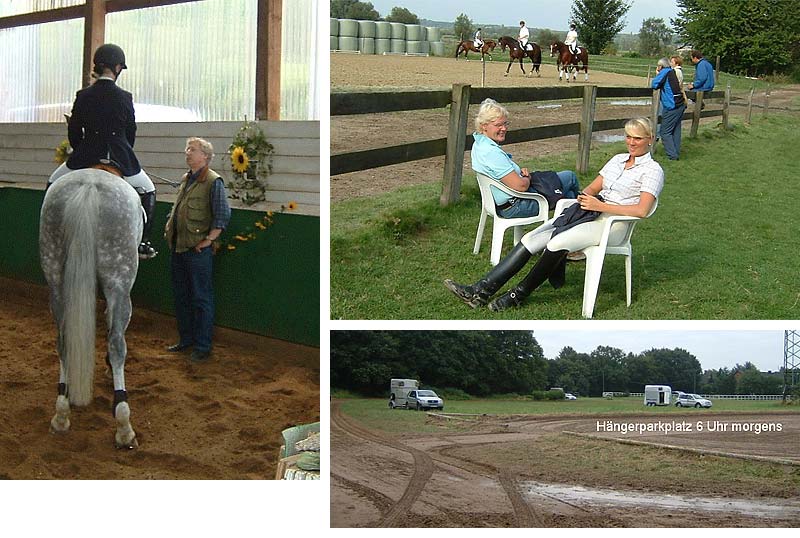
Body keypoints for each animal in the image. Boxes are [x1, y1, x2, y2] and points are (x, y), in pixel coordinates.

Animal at [40, 170, 142, 446]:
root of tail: (89, 186)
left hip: (55, 276)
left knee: (63, 341)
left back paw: (61, 413)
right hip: (119, 275)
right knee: (117, 344)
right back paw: (124, 426)